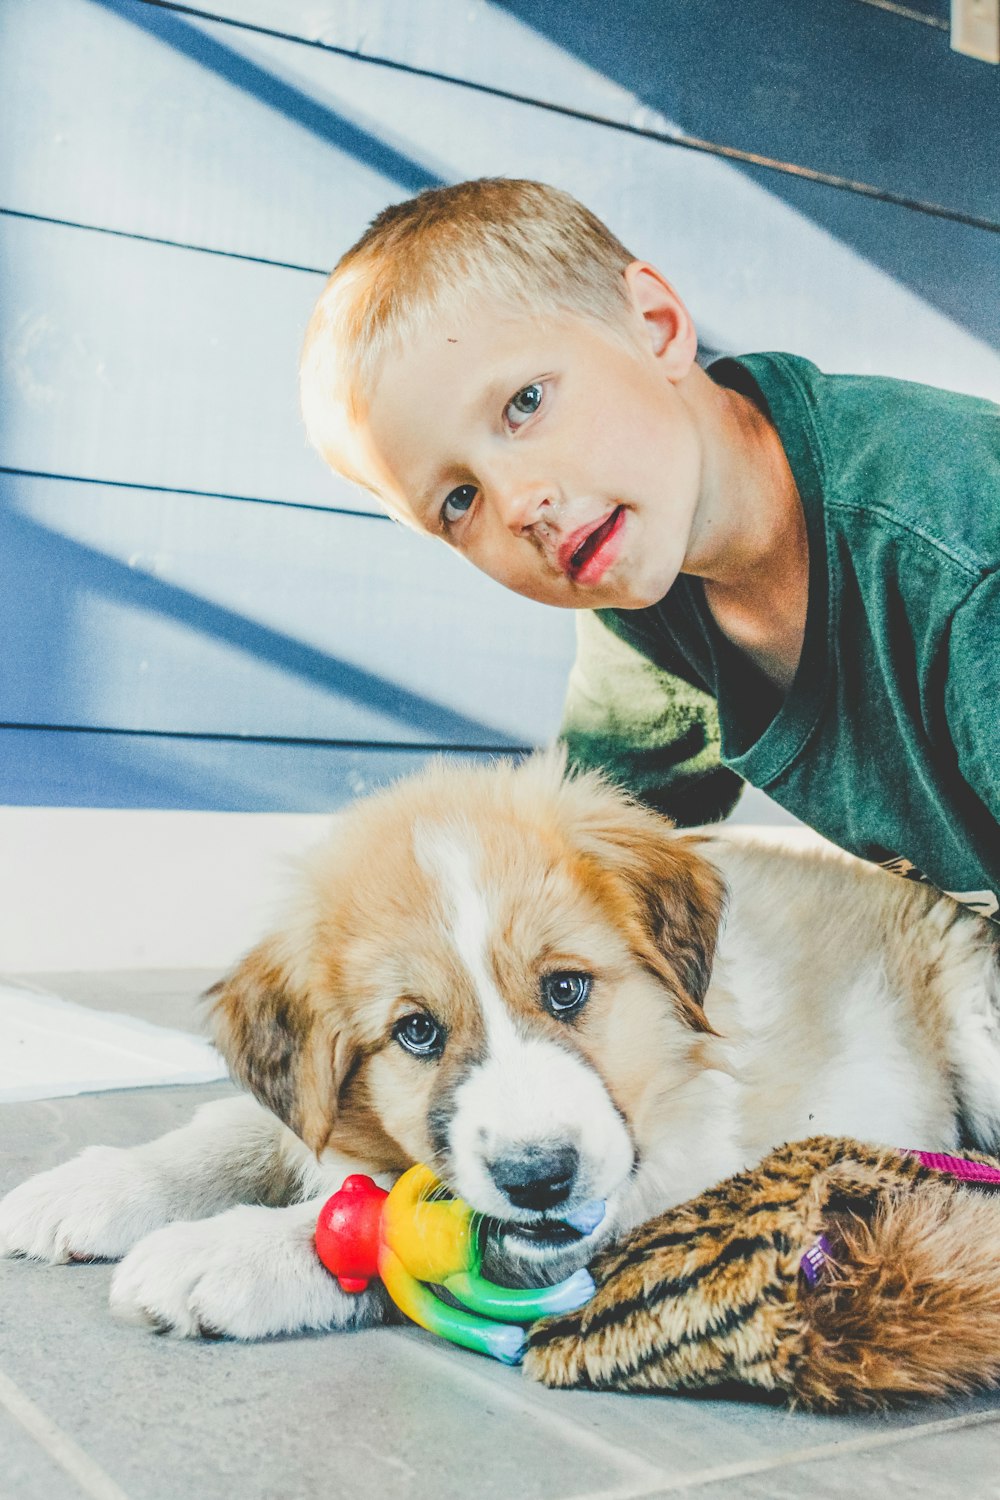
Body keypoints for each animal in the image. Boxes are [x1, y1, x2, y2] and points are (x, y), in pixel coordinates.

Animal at [1, 756, 1000, 1344]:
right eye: (416, 1031)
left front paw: (224, 1254)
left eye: (566, 989)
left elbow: (405, 1235)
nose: (540, 1178)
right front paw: (85, 1191)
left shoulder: (661, 1172)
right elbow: (224, 1133)